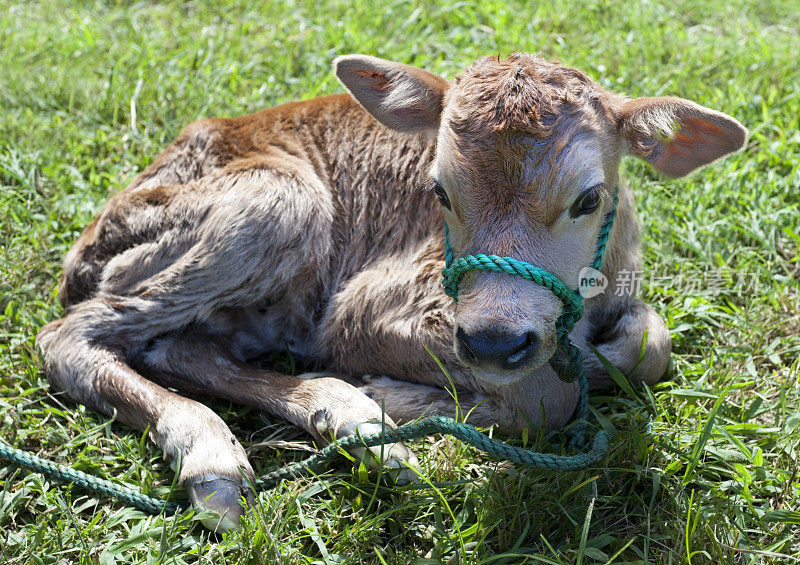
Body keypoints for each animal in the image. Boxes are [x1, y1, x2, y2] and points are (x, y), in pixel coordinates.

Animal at [36, 53, 752, 528]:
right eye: (439, 191)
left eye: (589, 198)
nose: (494, 342)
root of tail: (83, 253)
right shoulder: (362, 311)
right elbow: (548, 395)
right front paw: (399, 395)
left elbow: (649, 344)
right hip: (272, 200)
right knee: (68, 337)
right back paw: (223, 457)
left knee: (180, 349)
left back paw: (349, 420)